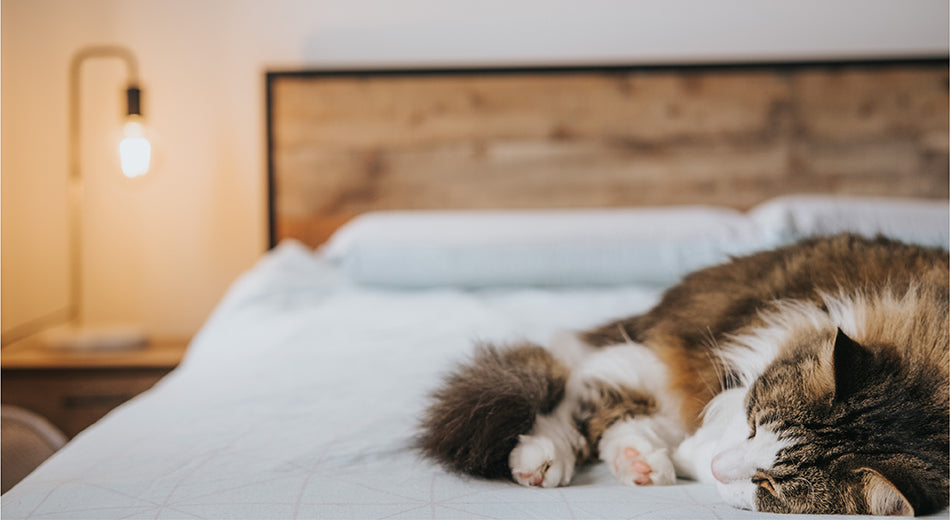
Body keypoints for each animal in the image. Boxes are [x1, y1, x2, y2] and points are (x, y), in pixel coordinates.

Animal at [420, 235, 948, 516]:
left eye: (769, 486)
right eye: (754, 426)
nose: (718, 467)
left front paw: (682, 461)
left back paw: (640, 463)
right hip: (663, 354)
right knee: (578, 396)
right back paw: (543, 460)